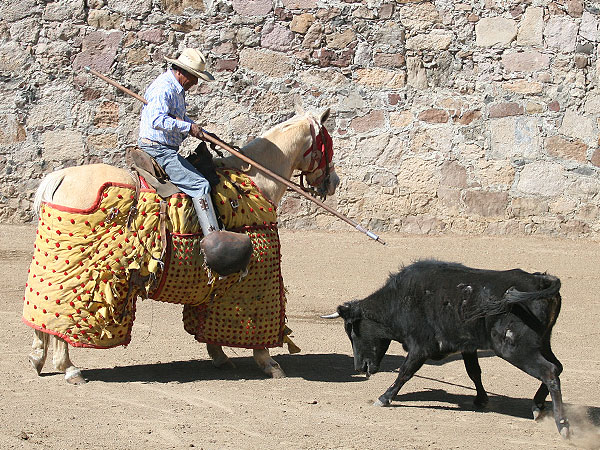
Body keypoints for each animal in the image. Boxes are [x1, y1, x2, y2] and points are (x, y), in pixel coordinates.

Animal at [27, 106, 338, 384]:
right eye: (328, 145)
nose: (332, 182)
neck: (256, 181)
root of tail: (61, 176)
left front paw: (219, 355)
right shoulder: (254, 280)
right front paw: (268, 363)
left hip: (53, 262)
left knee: (42, 312)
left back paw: (37, 358)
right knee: (59, 320)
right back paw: (69, 368)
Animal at [328, 260, 568, 440]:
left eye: (352, 331)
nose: (359, 368)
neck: (400, 300)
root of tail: (540, 281)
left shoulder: (420, 347)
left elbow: (405, 372)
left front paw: (384, 398)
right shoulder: (467, 345)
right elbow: (474, 372)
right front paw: (481, 400)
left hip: (515, 348)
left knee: (549, 371)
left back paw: (562, 425)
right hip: (542, 342)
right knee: (557, 367)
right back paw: (537, 406)